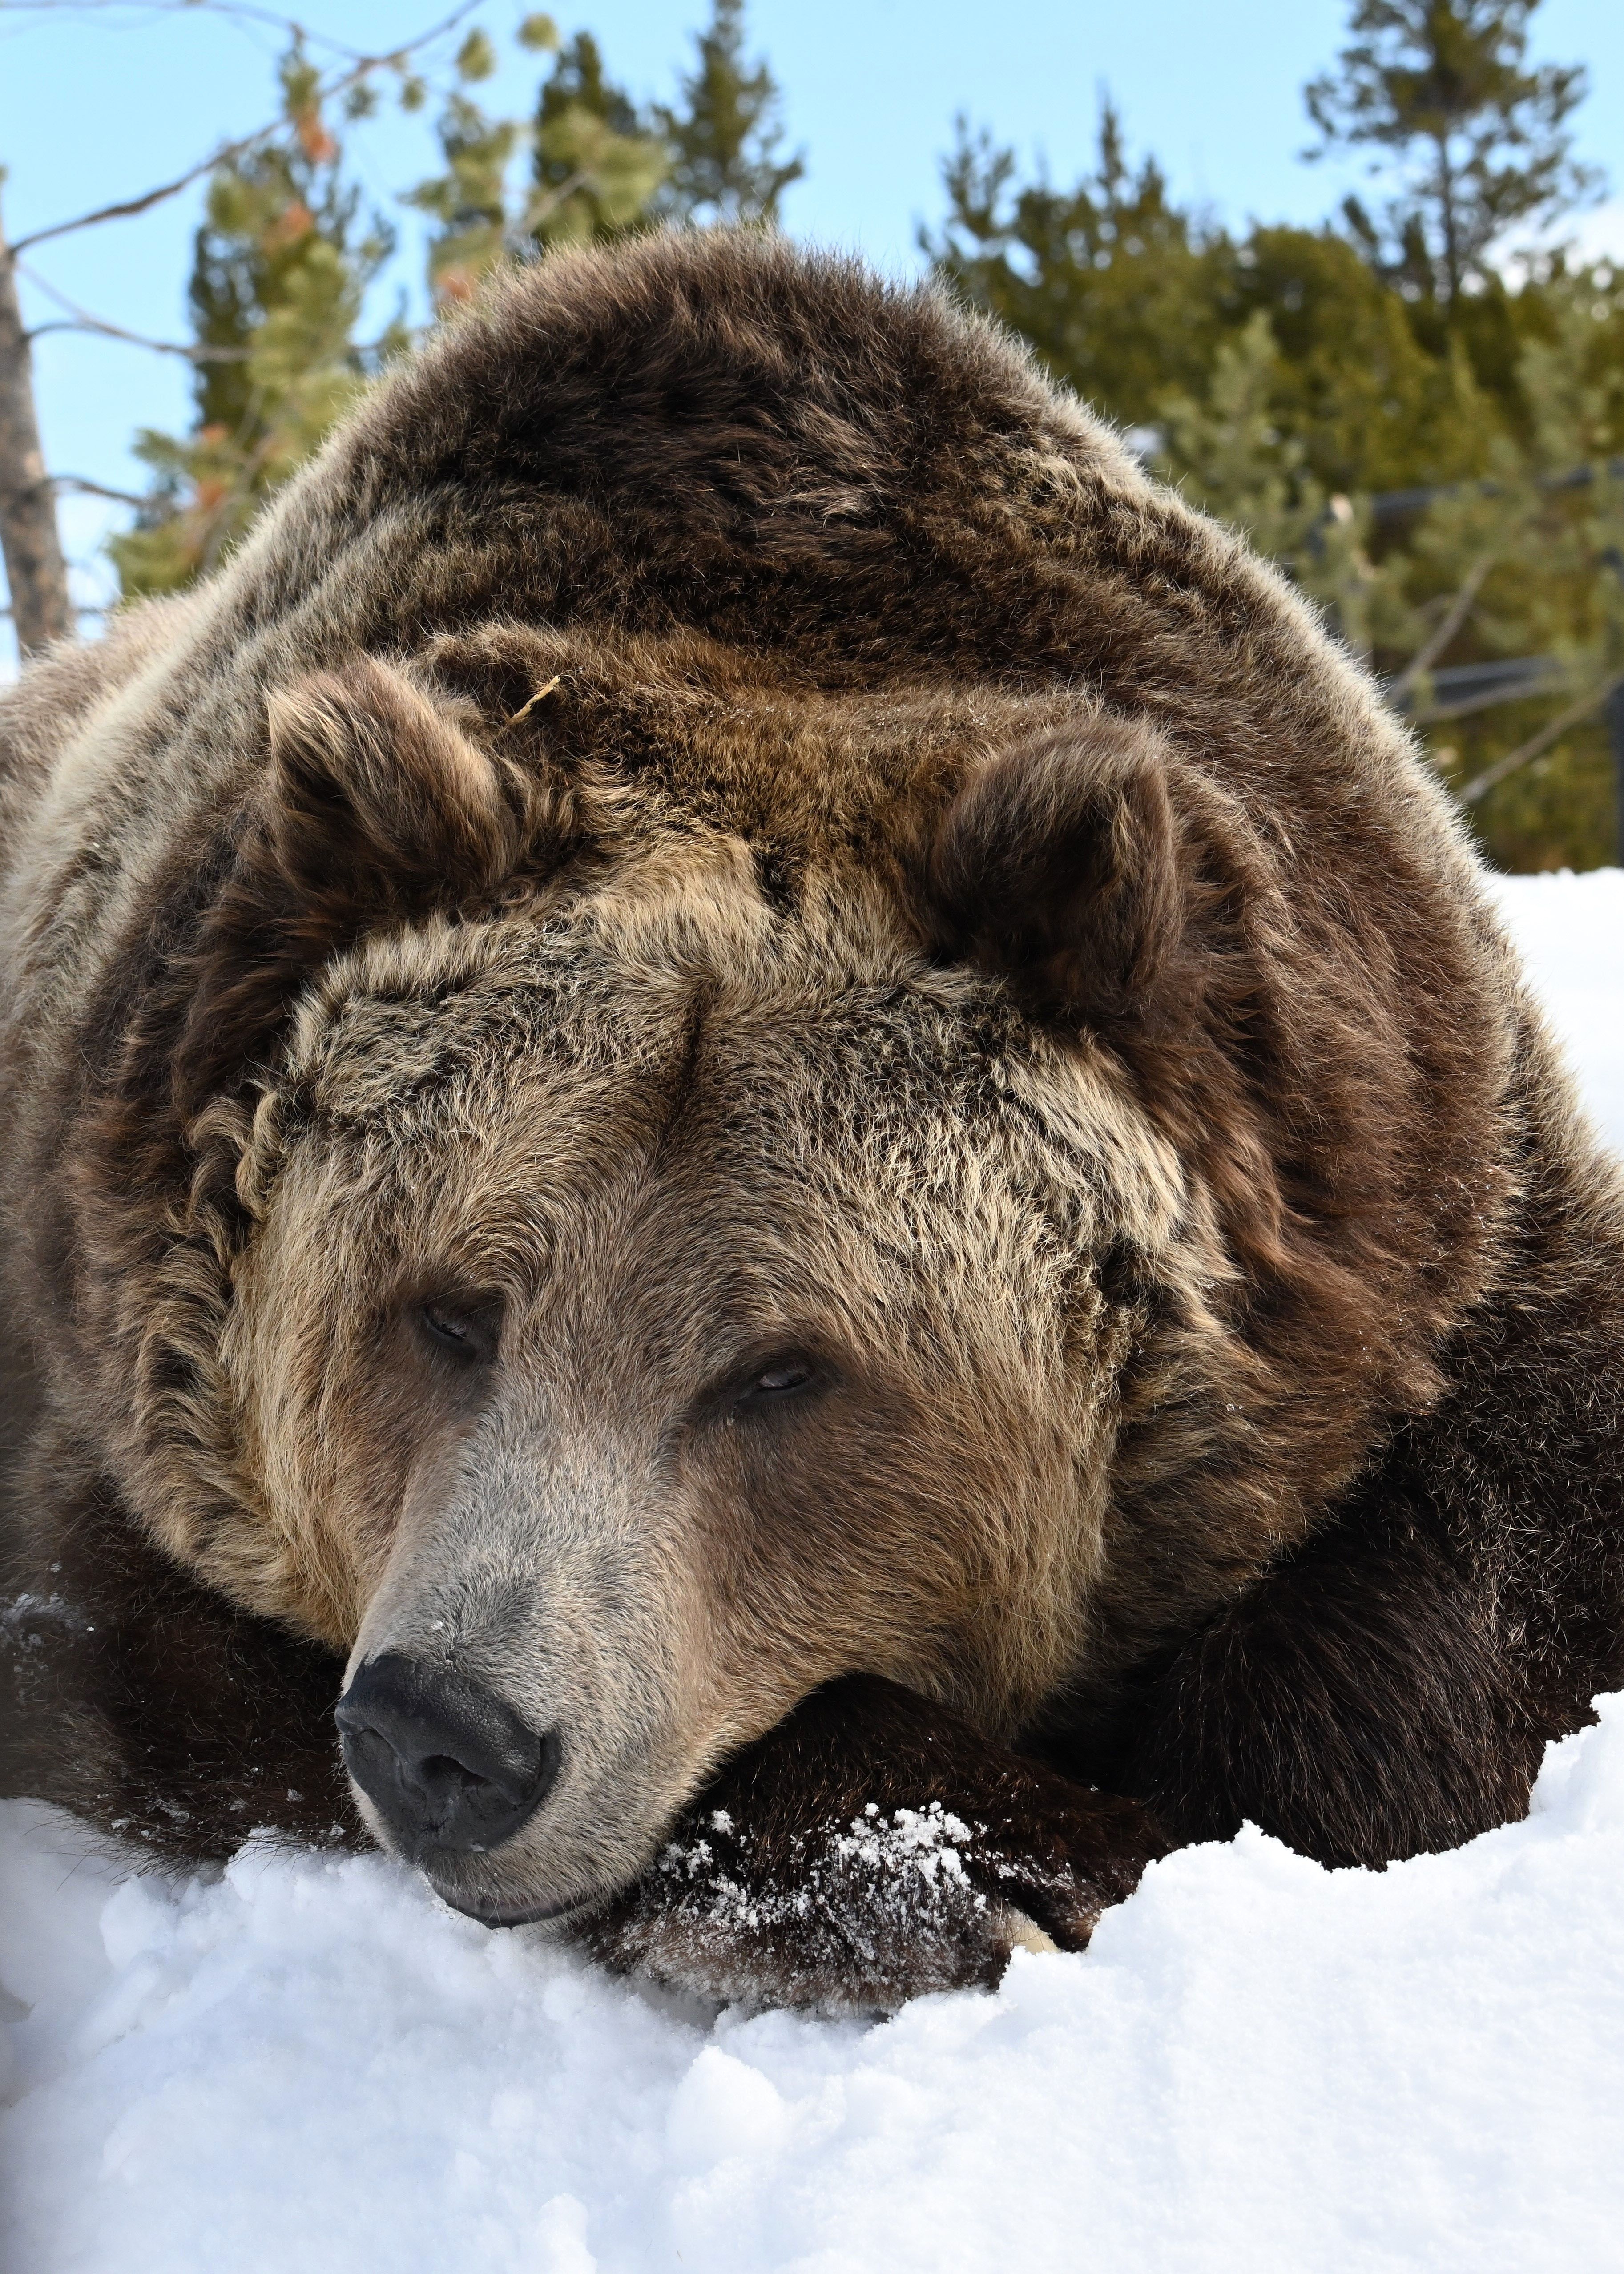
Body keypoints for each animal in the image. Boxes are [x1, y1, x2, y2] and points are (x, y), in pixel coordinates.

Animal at [2, 232, 1621, 2013]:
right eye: (445, 1307)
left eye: (783, 1370)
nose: (449, 1735)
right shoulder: (110, 1333)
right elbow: (150, 1644)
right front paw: (988, 1864)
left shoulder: (1403, 1187)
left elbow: (1500, 1549)